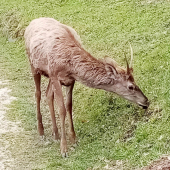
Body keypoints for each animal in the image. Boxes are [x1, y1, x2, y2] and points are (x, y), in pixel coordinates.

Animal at [23, 17, 149, 157]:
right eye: (131, 87)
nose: (146, 101)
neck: (70, 65)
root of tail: (32, 22)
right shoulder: (55, 74)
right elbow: (61, 109)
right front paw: (64, 149)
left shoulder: (70, 80)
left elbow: (69, 106)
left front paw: (73, 138)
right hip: (33, 65)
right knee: (38, 93)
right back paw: (41, 131)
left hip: (48, 75)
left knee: (48, 94)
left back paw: (55, 133)